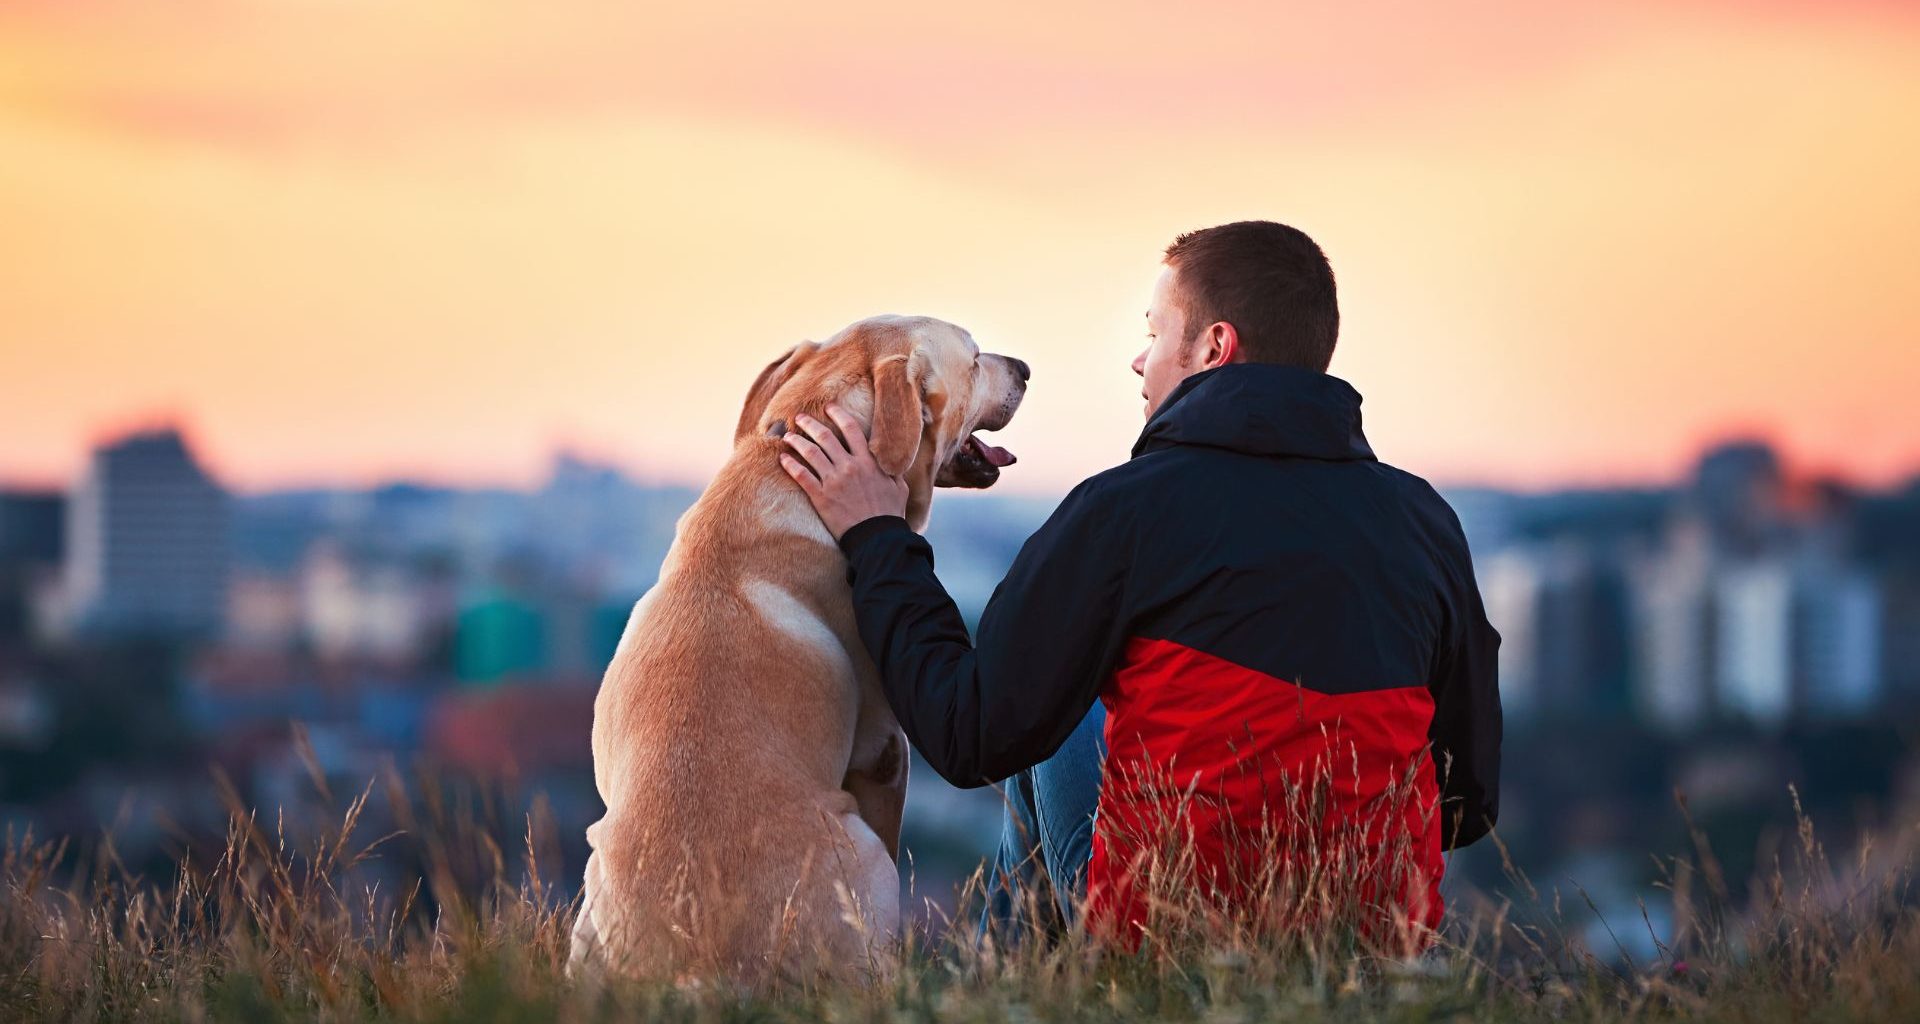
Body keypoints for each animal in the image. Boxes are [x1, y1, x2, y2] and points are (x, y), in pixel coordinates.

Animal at [564, 313, 1029, 983]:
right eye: (972, 359)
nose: (1025, 368)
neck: (784, 470)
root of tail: (694, 967)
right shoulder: (885, 749)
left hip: (589, 892)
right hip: (863, 855)